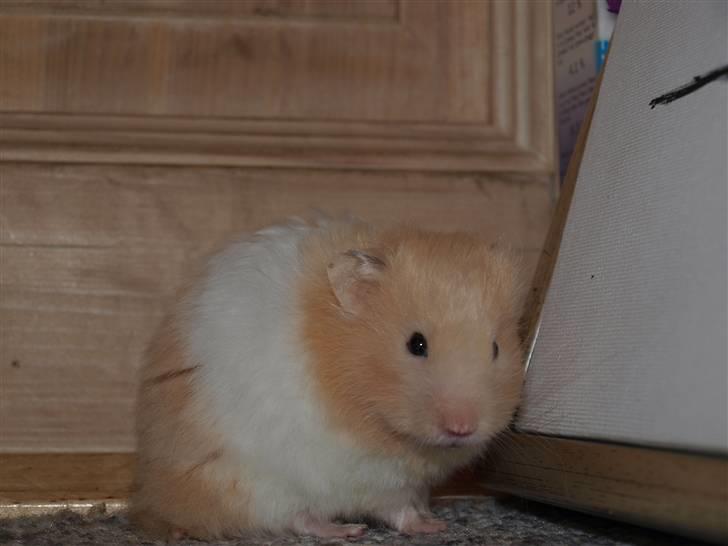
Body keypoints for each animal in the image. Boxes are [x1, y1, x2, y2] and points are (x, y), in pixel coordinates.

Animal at [131, 217, 526, 540]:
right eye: (416, 344)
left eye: (496, 348)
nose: (462, 428)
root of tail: (156, 496)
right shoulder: (374, 476)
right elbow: (395, 509)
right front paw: (431, 527)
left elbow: (409, 506)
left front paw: (433, 520)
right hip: (255, 482)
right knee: (297, 519)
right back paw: (345, 530)